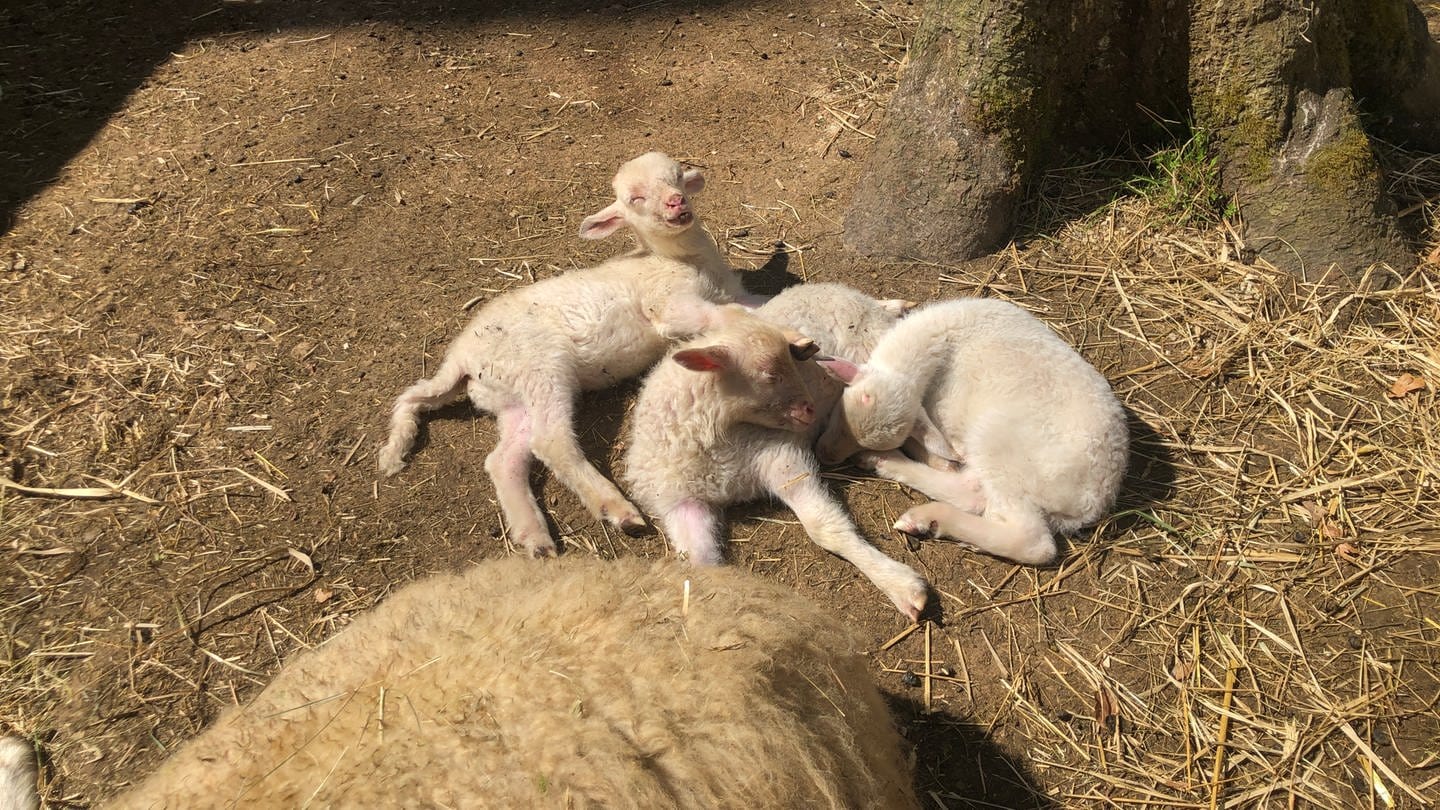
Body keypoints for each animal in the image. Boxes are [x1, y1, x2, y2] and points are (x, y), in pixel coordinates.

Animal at [377, 151, 760, 553]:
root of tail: (462, 357)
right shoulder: (668, 307)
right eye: (634, 199)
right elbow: (727, 316)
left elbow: (753, 303)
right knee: (550, 442)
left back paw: (533, 537)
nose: (676, 203)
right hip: (541, 370)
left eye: (677, 178)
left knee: (501, 458)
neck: (677, 259)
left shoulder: (730, 292)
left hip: (513, 398)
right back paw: (616, 510)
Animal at [624, 283, 927, 616]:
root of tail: (839, 289)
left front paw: (900, 585)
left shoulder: (779, 457)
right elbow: (699, 563)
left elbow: (823, 526)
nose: (810, 409)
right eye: (771, 375)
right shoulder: (682, 504)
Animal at [817, 292, 1128, 564]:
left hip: (1000, 446)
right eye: (838, 414)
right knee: (973, 491)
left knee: (1030, 540)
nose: (826, 457)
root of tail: (1094, 499)